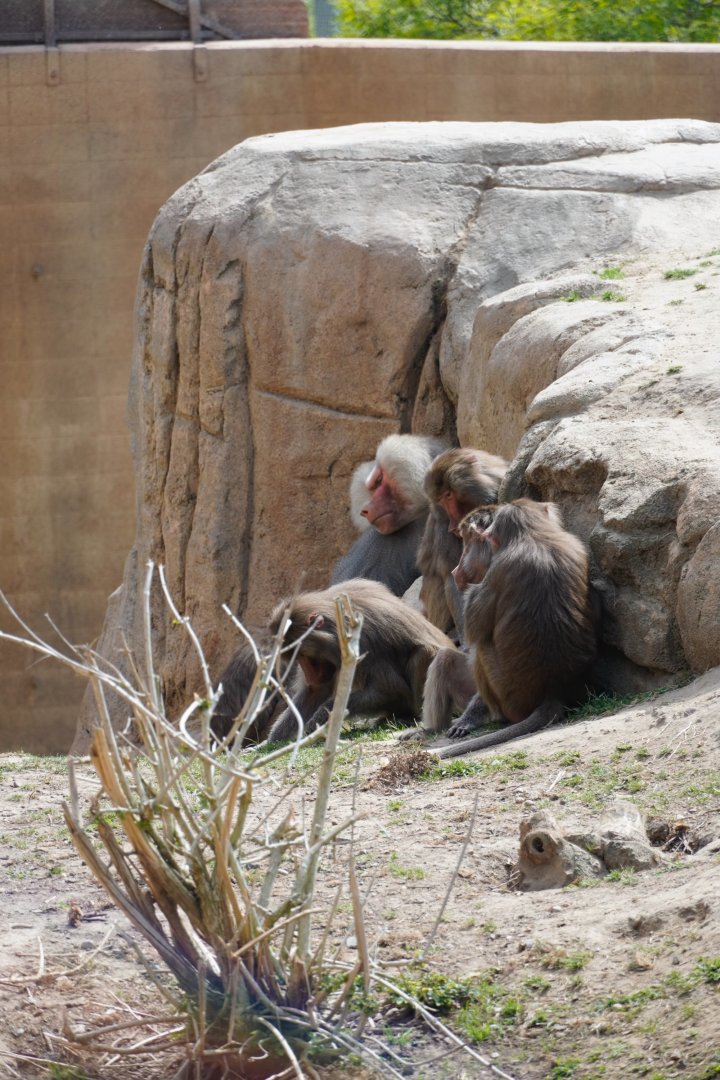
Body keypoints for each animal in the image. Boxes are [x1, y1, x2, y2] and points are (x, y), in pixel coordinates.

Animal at [265, 578, 456, 743]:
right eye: (298, 657)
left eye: (302, 654)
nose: (310, 675)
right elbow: (316, 691)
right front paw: (270, 742)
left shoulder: (361, 643)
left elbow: (388, 690)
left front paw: (324, 715)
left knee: (424, 652)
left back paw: (409, 717)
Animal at [427, 499, 598, 759]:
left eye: (467, 543)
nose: (457, 569)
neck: (534, 537)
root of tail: (553, 691)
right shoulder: (576, 544)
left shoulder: (495, 572)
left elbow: (474, 632)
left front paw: (469, 719)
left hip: (508, 700)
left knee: (473, 648)